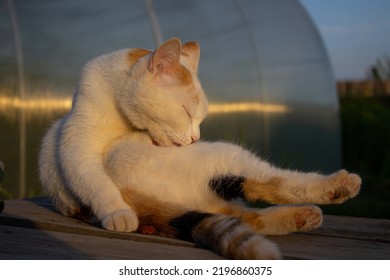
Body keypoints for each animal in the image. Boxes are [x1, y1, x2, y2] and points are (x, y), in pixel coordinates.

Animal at [38, 37, 362, 260]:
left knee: (246, 214)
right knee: (273, 183)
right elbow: (92, 179)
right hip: (226, 155)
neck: (124, 120)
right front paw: (117, 213)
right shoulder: (75, 145)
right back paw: (339, 187)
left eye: (200, 117)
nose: (195, 138)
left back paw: (301, 216)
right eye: (187, 113)